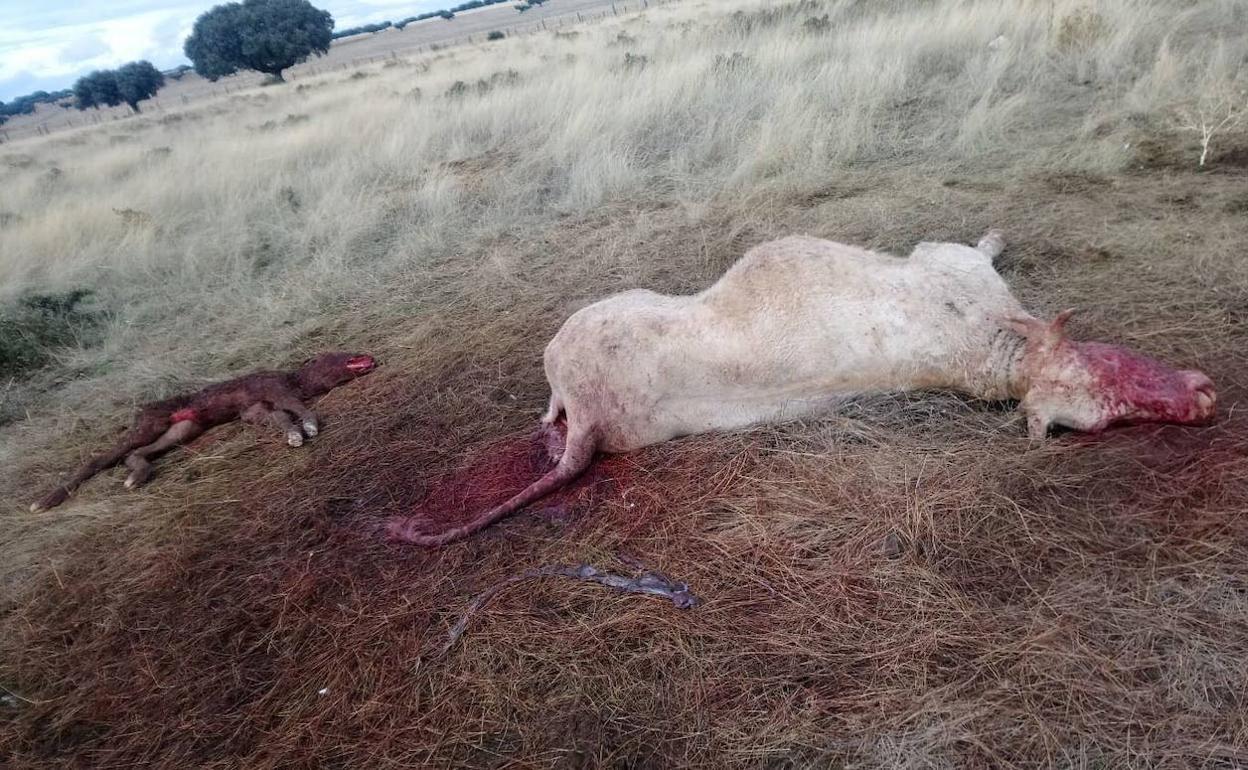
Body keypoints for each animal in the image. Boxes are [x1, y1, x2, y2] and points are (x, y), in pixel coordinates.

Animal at [394, 229, 1213, 546]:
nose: (1206, 398)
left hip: (573, 372)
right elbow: (976, 245)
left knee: (552, 415)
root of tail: (591, 417)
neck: (991, 343)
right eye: (1106, 377)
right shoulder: (947, 260)